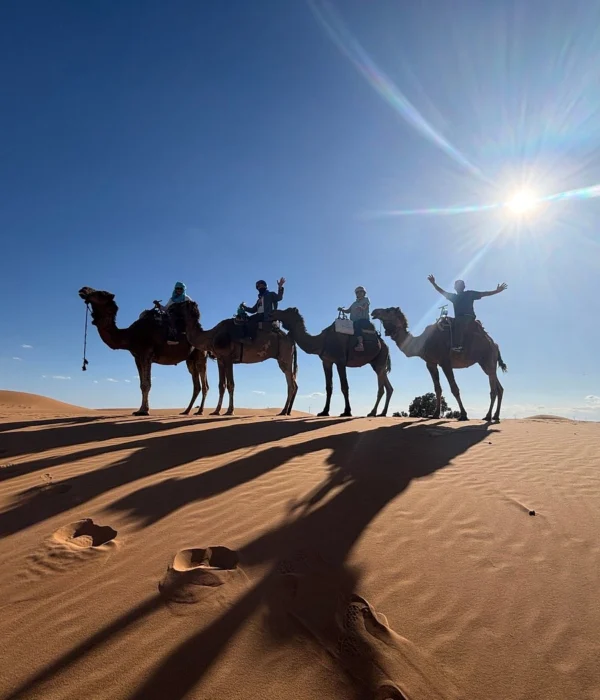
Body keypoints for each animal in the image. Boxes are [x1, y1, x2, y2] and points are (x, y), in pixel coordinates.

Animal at [78, 287, 209, 416]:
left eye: (100, 293)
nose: (83, 290)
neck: (130, 335)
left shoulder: (146, 354)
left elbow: (146, 385)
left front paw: (144, 411)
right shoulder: (137, 357)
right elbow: (141, 385)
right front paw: (140, 409)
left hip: (200, 355)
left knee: (204, 384)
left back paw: (200, 411)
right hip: (190, 359)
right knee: (196, 385)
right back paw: (186, 411)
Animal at [371, 307, 507, 422]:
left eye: (388, 310)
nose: (374, 312)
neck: (422, 342)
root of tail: (495, 344)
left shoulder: (445, 362)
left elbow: (454, 388)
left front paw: (463, 415)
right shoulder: (430, 363)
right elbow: (437, 388)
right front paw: (435, 414)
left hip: (488, 359)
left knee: (493, 389)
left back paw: (488, 416)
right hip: (485, 363)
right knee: (499, 387)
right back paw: (496, 416)